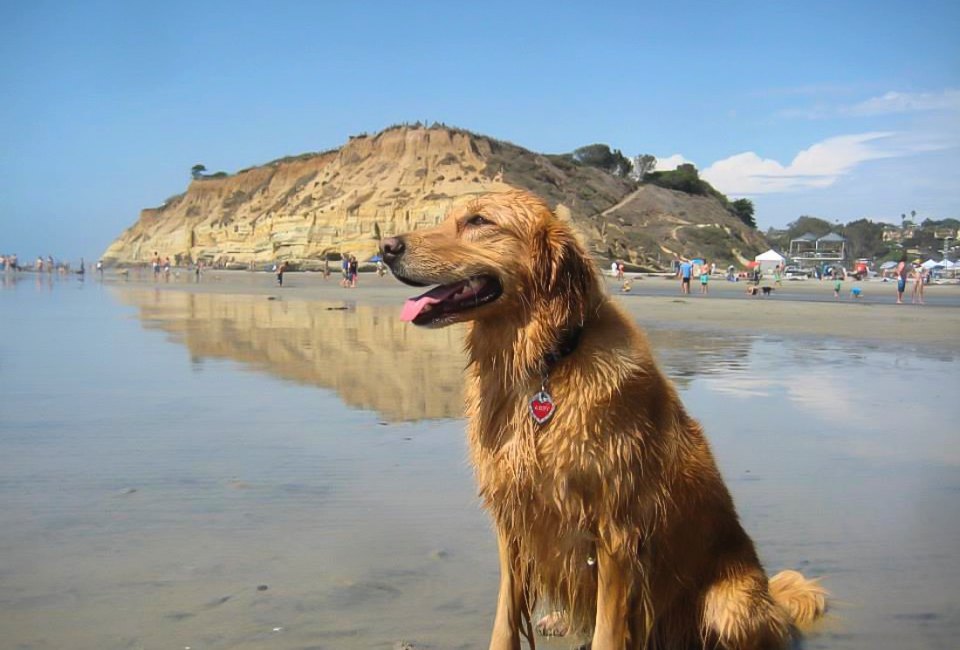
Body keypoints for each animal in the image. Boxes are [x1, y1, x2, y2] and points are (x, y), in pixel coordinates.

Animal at [382, 190, 824, 644]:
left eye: (479, 221)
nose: (386, 247)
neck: (545, 363)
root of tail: (773, 598)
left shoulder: (616, 529)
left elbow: (607, 632)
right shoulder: (514, 519)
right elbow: (506, 618)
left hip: (727, 605)